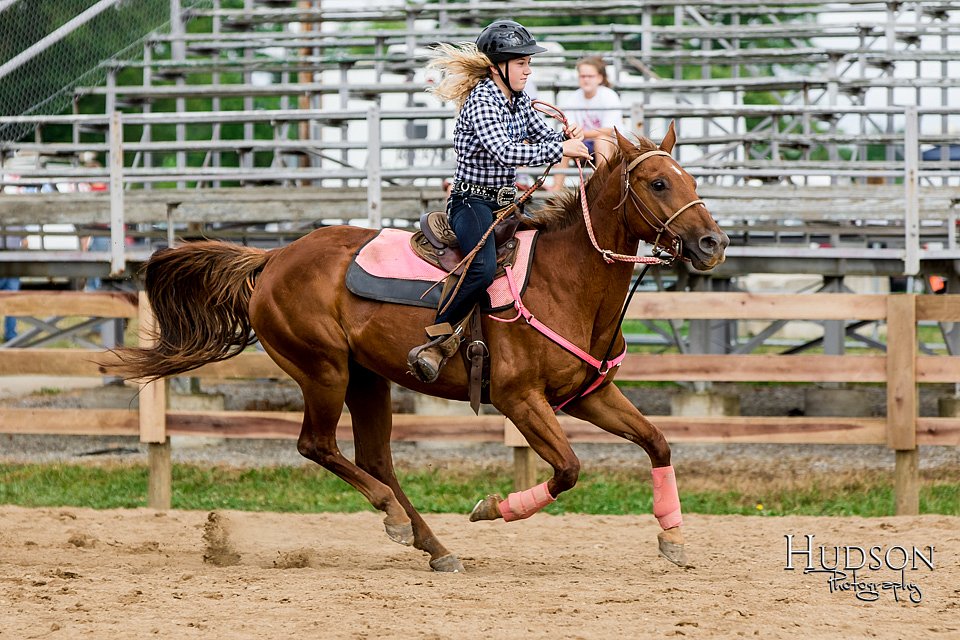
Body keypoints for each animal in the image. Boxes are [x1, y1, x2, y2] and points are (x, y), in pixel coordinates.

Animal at [109, 125, 728, 568]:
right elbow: (569, 469)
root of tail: (272, 258)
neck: (564, 282)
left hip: (366, 378)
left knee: (374, 457)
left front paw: (674, 540)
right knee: (317, 446)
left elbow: (657, 442)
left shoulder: (588, 395)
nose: (712, 243)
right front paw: (490, 509)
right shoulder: (519, 399)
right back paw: (395, 519)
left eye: (692, 180)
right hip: (324, 371)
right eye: (658, 184)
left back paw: (433, 545)